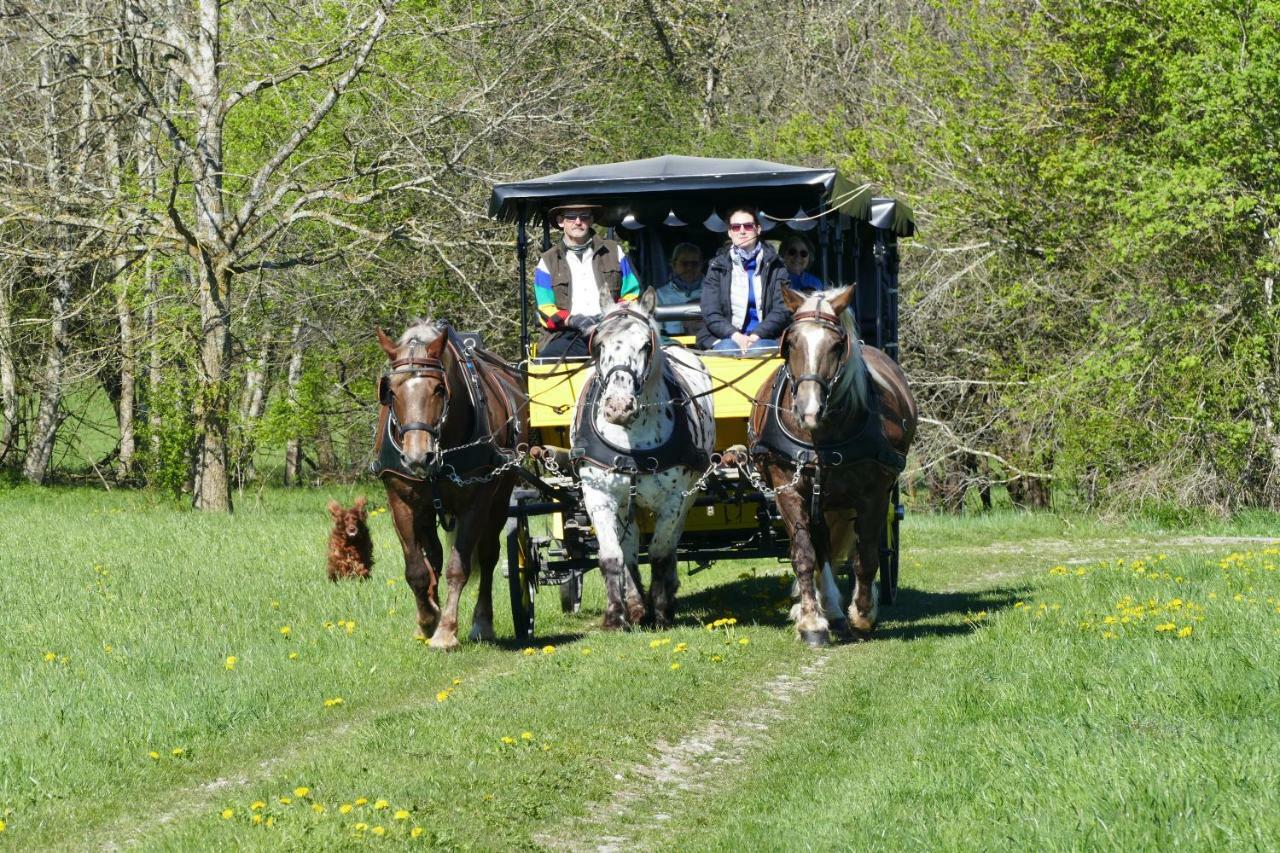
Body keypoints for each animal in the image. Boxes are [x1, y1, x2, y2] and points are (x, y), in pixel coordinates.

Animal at [373, 322, 529, 648]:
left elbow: (459, 567)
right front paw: (426, 620)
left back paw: (482, 622)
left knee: (488, 554)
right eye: (390, 391)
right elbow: (416, 569)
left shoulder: (477, 500)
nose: (418, 456)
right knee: (433, 555)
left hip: (500, 497)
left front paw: (445, 631)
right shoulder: (400, 499)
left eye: (439, 389)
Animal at [573, 289, 716, 627]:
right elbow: (613, 555)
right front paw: (616, 615)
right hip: (626, 501)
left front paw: (661, 609)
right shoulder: (599, 495)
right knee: (629, 545)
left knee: (671, 542)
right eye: (599, 344)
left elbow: (660, 552)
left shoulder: (675, 499)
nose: (618, 407)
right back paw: (636, 604)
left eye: (645, 345)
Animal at [747, 285, 921, 645]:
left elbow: (866, 557)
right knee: (821, 547)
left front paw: (863, 615)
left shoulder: (874, 494)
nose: (808, 410)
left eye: (837, 345)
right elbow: (804, 555)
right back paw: (828, 610)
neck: (821, 436)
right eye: (790, 343)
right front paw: (812, 623)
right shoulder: (788, 490)